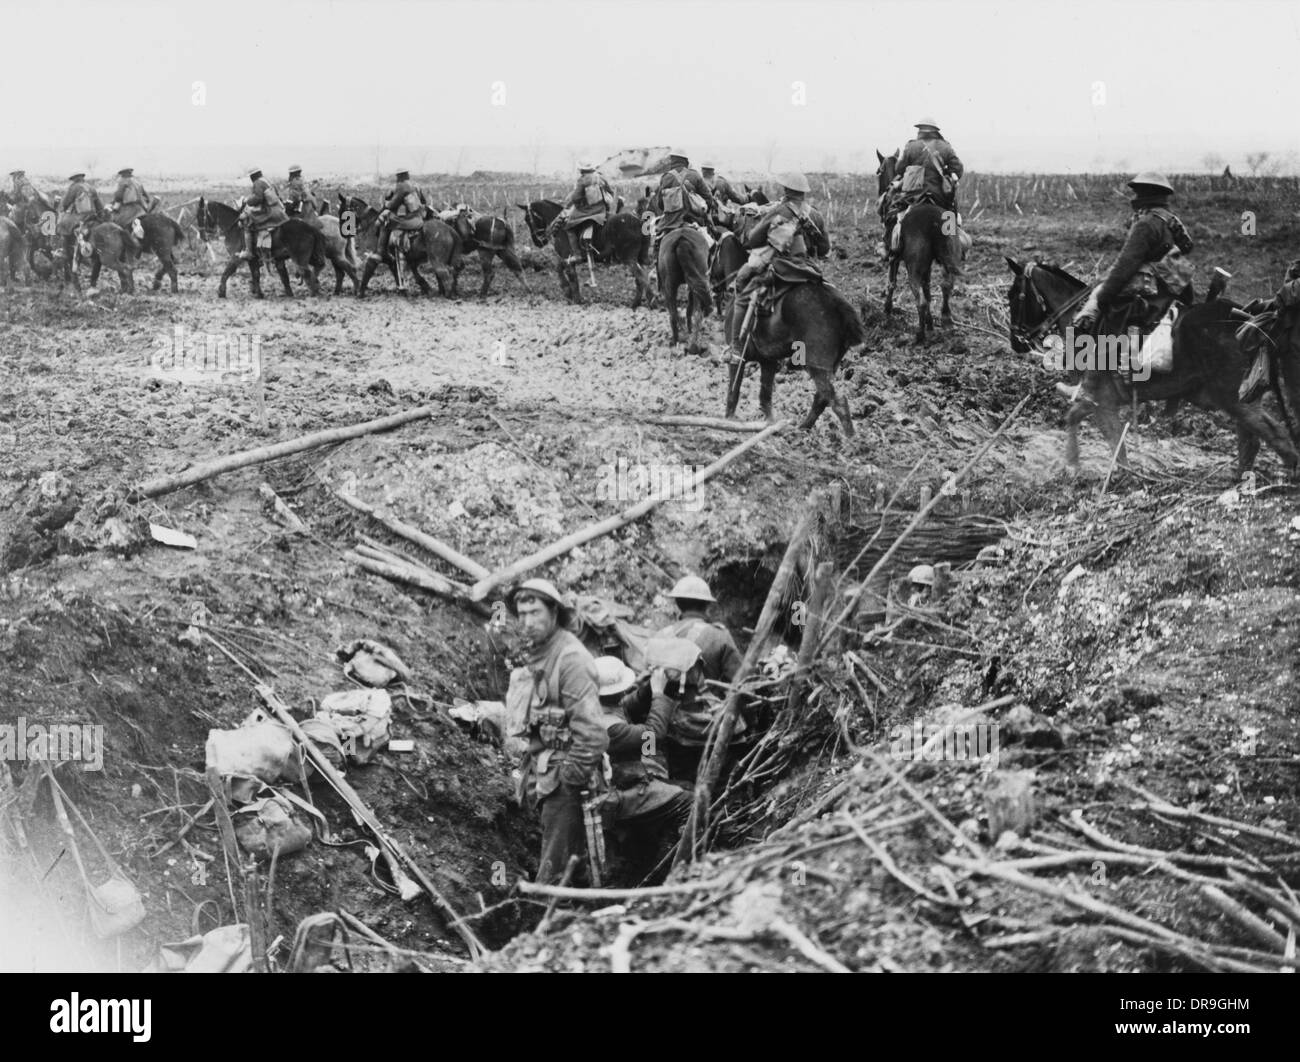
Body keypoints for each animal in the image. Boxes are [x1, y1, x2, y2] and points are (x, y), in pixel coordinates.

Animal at [509, 198, 650, 306]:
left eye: (528, 218)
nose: (538, 242)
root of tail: (639, 222)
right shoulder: (566, 259)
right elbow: (559, 267)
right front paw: (567, 292)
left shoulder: (568, 259)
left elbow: (572, 277)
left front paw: (575, 299)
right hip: (639, 259)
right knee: (641, 279)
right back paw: (638, 303)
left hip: (629, 259)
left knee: (641, 277)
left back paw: (650, 301)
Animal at [1008, 257, 1294, 475]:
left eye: (1015, 296)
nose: (1016, 342)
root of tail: (1252, 320)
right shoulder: (1101, 402)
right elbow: (1106, 435)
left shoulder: (1100, 400)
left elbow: (1098, 430)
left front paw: (1078, 466)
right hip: (1240, 399)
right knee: (1253, 438)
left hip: (1234, 398)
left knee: (1273, 434)